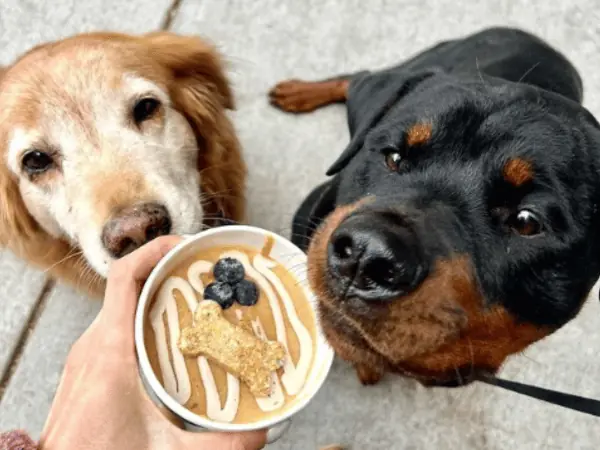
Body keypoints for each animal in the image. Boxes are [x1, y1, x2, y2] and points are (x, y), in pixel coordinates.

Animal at [270, 28, 600, 386]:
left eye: (527, 220)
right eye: (393, 156)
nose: (366, 254)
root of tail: (539, 41)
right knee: (358, 76)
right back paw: (299, 91)